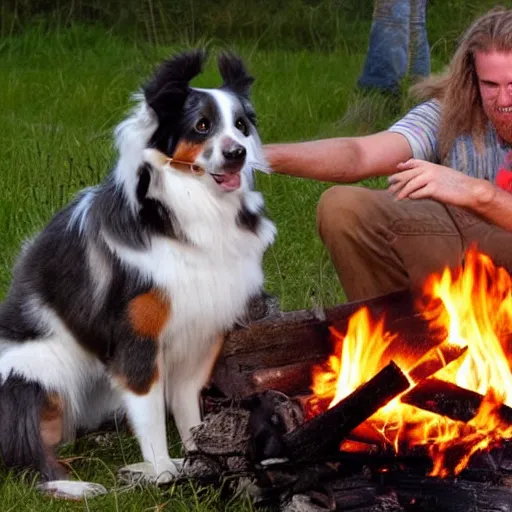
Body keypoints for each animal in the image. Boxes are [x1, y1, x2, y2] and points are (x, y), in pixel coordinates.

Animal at [0, 50, 276, 498]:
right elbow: (150, 416)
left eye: (241, 125)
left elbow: (189, 412)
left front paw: (202, 464)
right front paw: (161, 472)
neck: (187, 213)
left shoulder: (201, 335)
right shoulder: (139, 341)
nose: (236, 153)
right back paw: (77, 486)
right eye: (202, 125)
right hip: (39, 371)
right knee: (25, 454)